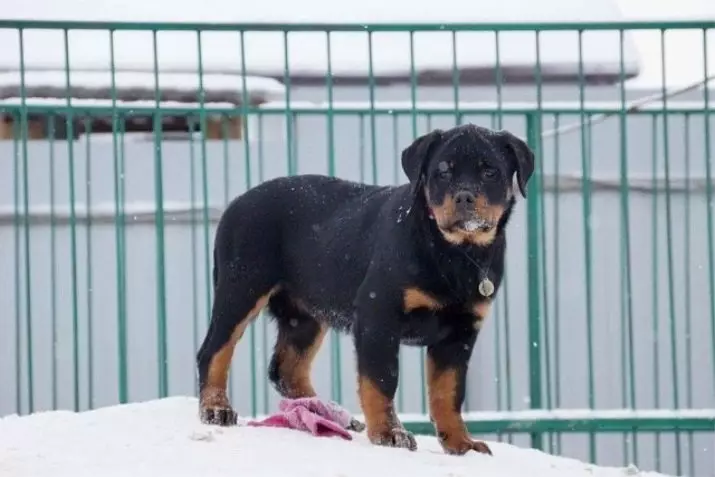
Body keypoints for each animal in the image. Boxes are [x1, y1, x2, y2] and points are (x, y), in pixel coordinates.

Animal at [194, 122, 532, 454]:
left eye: (490, 172)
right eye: (442, 172)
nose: (463, 197)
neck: (456, 252)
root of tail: (235, 203)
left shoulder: (460, 332)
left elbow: (448, 392)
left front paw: (461, 443)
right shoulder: (378, 314)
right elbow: (381, 379)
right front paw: (389, 433)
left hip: (305, 313)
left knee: (286, 368)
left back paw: (326, 414)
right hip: (242, 287)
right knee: (214, 350)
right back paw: (216, 409)